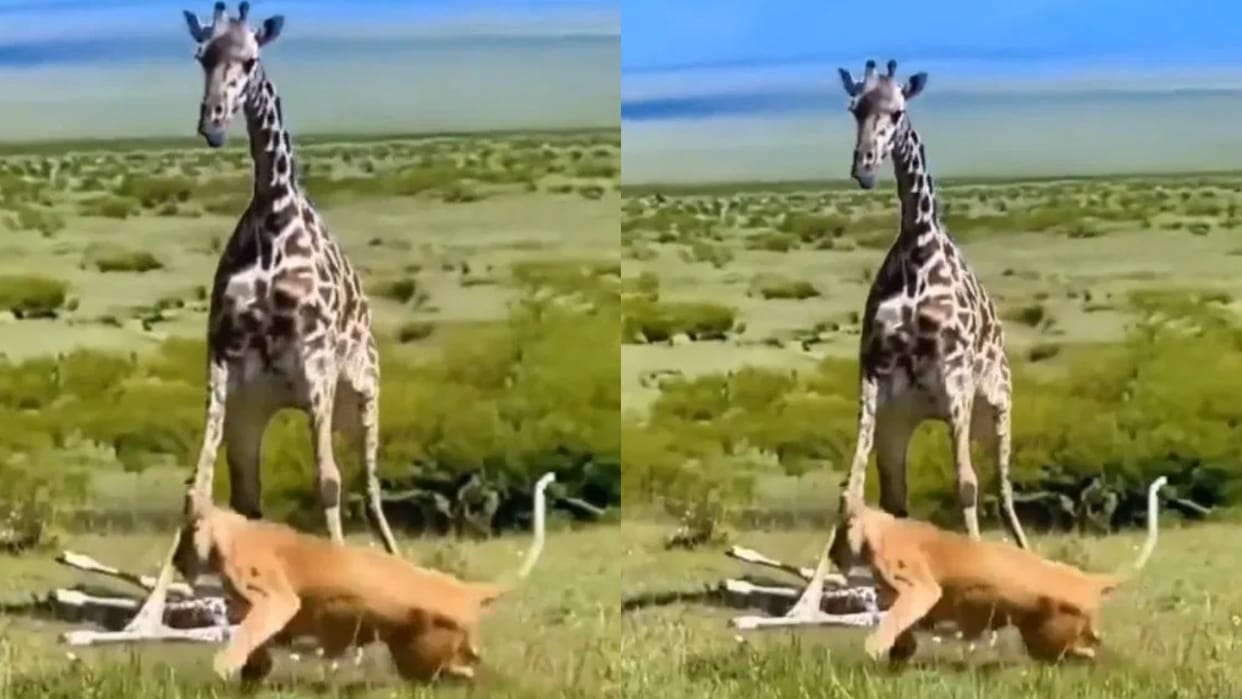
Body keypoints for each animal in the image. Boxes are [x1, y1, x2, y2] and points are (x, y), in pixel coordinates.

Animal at [119, 1, 399, 637]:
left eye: (250, 60)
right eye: (202, 56)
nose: (214, 123)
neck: (273, 217)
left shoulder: (316, 361)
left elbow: (328, 481)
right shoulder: (223, 361)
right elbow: (199, 487)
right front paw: (146, 615)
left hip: (361, 394)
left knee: (369, 486)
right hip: (256, 411)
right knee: (251, 497)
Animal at [172, 472, 556, 684]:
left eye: (184, 538)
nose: (175, 561)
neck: (231, 532)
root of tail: (462, 588)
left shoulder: (274, 598)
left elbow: (250, 632)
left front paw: (223, 670)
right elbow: (258, 642)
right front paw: (252, 672)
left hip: (428, 652)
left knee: (470, 669)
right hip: (416, 657)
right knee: (464, 669)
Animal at [783, 59, 1030, 622]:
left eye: (897, 111)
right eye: (854, 108)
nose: (865, 167)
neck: (918, 250)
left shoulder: (955, 378)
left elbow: (966, 484)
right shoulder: (874, 378)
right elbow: (851, 490)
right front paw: (805, 602)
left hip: (996, 407)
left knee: (1003, 488)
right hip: (903, 422)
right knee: (898, 498)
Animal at [825, 476, 1166, 664]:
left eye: (839, 534)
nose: (831, 554)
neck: (879, 528)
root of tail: (1085, 579)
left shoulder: (919, 588)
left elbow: (896, 617)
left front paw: (874, 650)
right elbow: (904, 624)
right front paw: (899, 653)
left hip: (1054, 634)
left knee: (1091, 648)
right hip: (1043, 639)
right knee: (1086, 648)